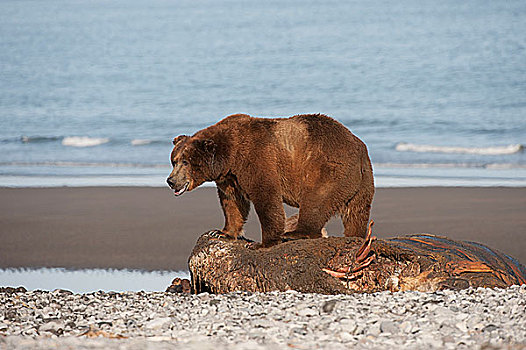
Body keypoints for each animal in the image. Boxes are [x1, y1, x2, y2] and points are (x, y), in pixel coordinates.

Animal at [168, 113, 376, 247]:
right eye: (174, 160)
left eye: (185, 162)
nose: (171, 180)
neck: (229, 156)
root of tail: (360, 148)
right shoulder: (229, 178)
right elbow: (233, 202)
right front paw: (221, 232)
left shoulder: (256, 157)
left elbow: (266, 196)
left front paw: (262, 243)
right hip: (361, 183)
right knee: (356, 214)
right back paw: (355, 236)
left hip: (326, 168)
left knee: (315, 201)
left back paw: (294, 233)